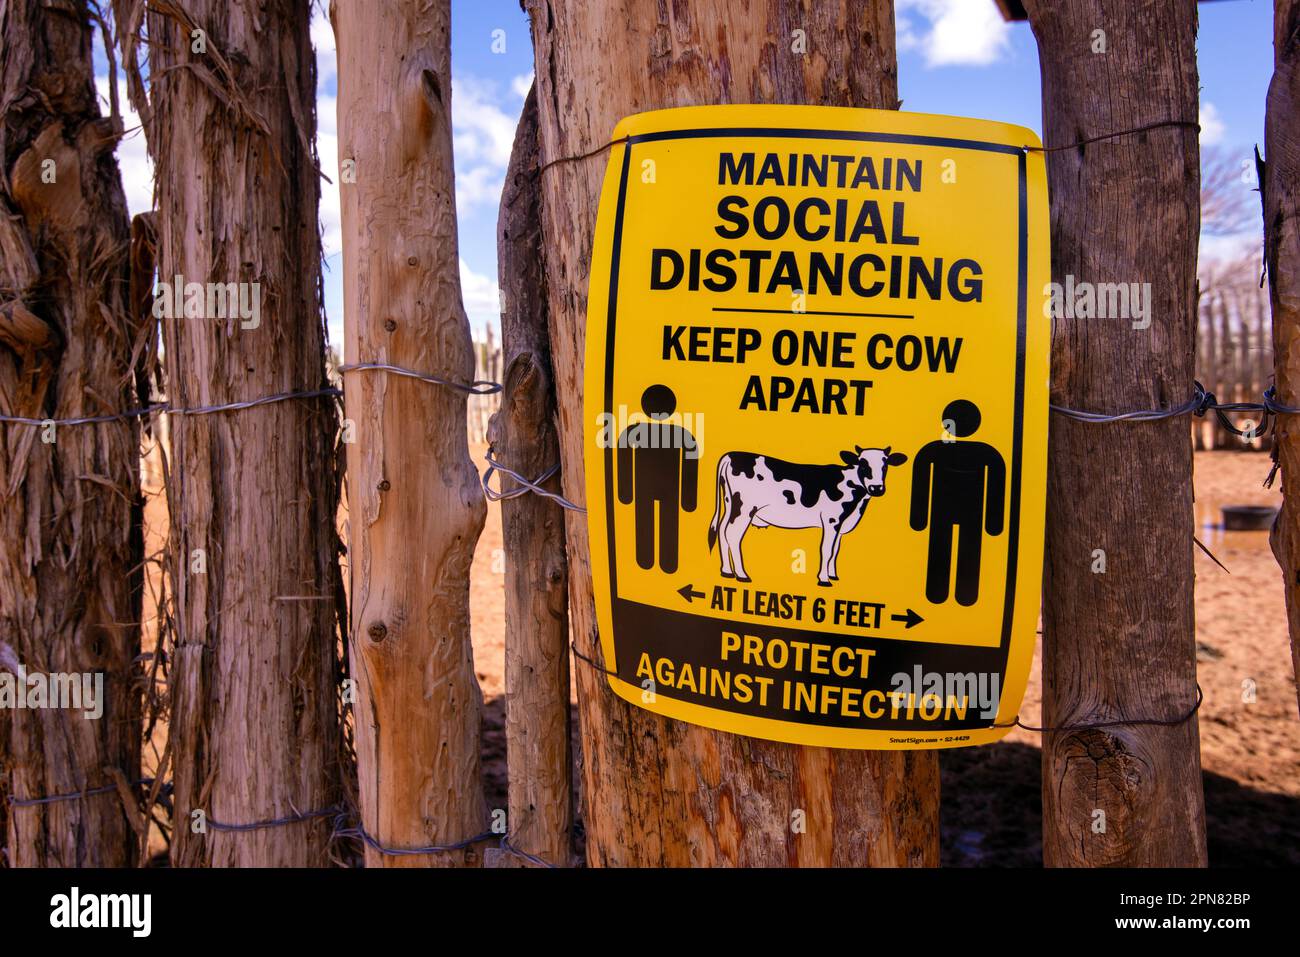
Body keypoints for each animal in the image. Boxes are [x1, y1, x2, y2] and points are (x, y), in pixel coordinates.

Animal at [712, 447, 904, 582]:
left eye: (885, 465)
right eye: (863, 464)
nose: (877, 488)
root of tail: (731, 455)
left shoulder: (841, 524)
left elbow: (835, 550)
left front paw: (833, 575)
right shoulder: (831, 520)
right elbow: (827, 549)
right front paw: (824, 579)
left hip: (730, 504)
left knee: (722, 531)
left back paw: (727, 571)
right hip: (744, 509)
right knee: (733, 535)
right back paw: (741, 575)